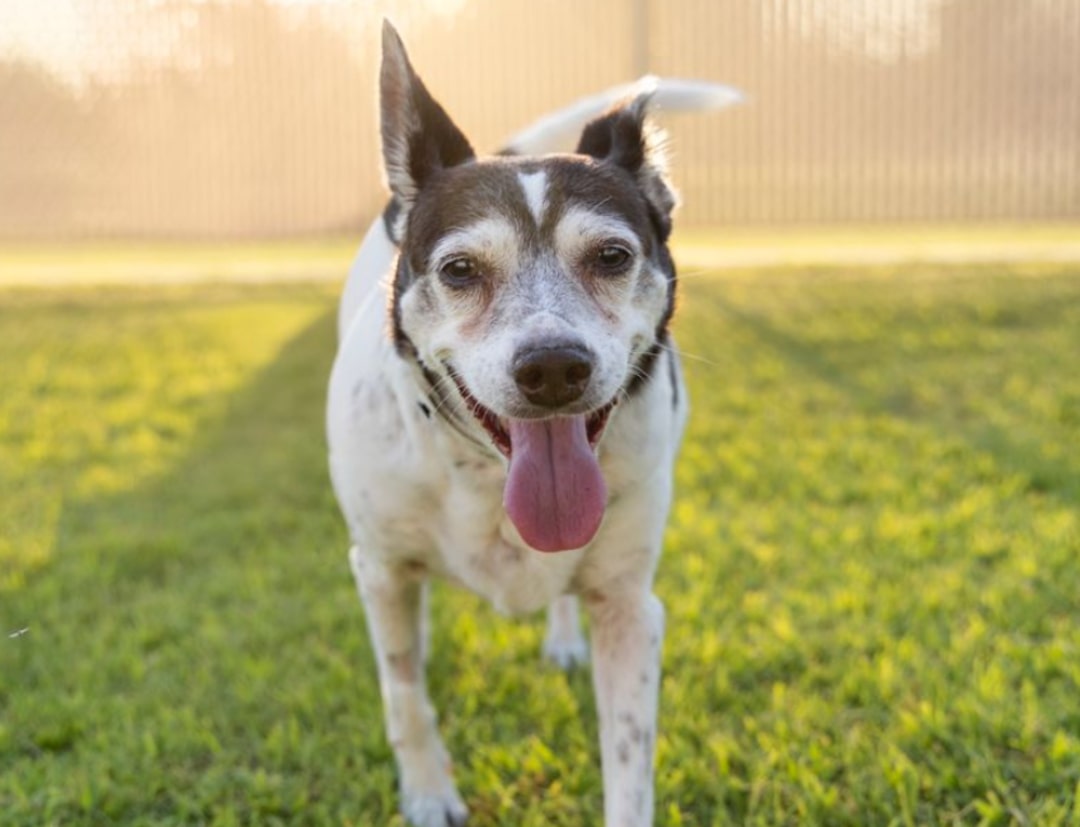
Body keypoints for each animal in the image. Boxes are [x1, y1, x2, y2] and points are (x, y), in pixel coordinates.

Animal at [324, 21, 738, 827]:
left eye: (612, 255)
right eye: (459, 270)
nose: (552, 367)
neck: (486, 474)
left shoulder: (630, 609)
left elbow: (630, 762)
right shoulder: (380, 568)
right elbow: (403, 690)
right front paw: (429, 793)